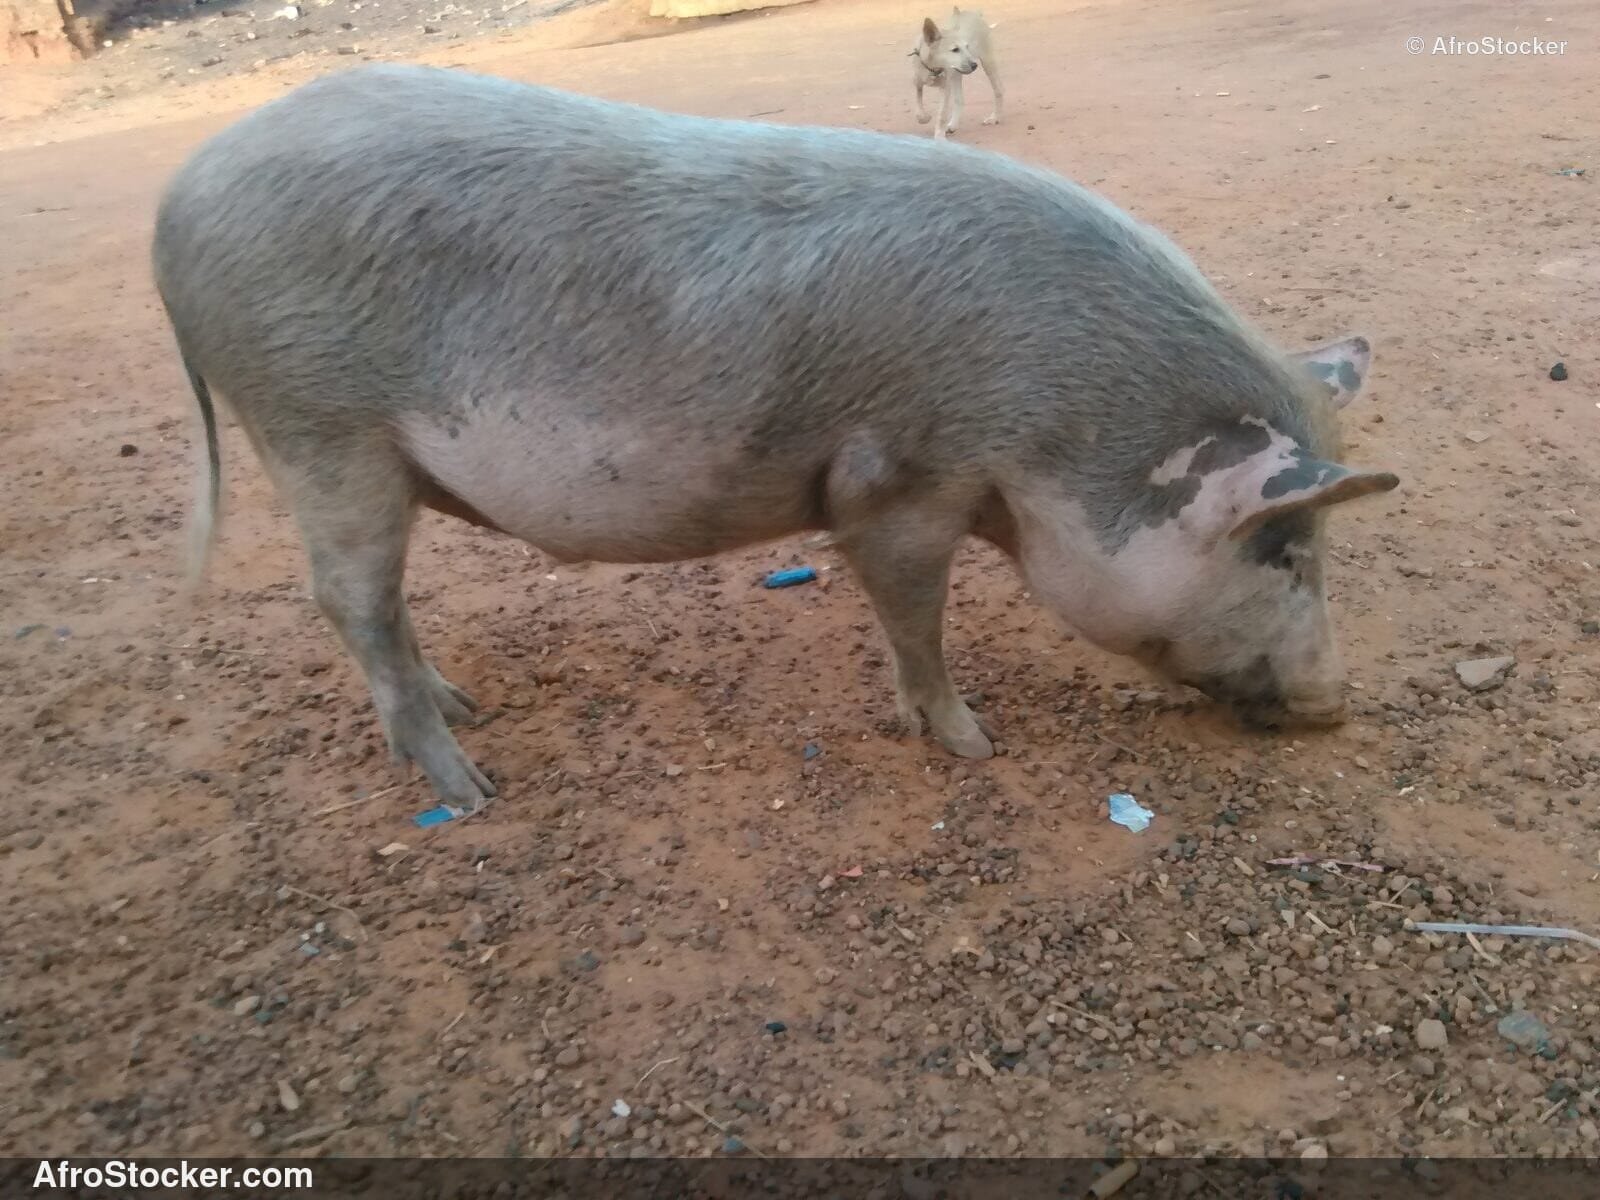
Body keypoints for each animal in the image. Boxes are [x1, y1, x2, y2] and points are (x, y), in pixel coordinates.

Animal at [153, 65, 1399, 809]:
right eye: (1284, 548)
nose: (1337, 708)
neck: (1062, 423)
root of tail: (174, 204)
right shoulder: (902, 480)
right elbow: (914, 616)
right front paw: (972, 746)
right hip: (317, 428)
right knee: (350, 602)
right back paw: (471, 788)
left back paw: (465, 713)